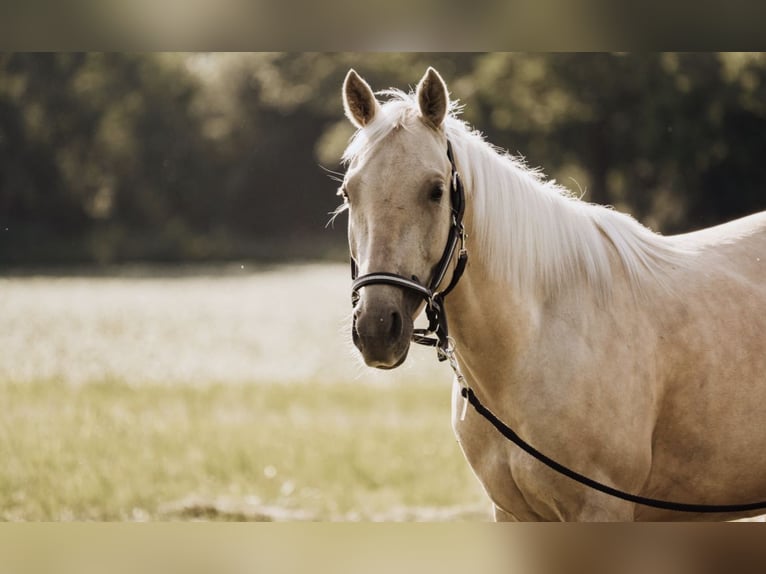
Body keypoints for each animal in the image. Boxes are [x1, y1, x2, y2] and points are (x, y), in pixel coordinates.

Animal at [340, 66, 766, 520]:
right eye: (349, 192)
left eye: (436, 190)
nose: (376, 328)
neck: (536, 337)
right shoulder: (511, 512)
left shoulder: (601, 509)